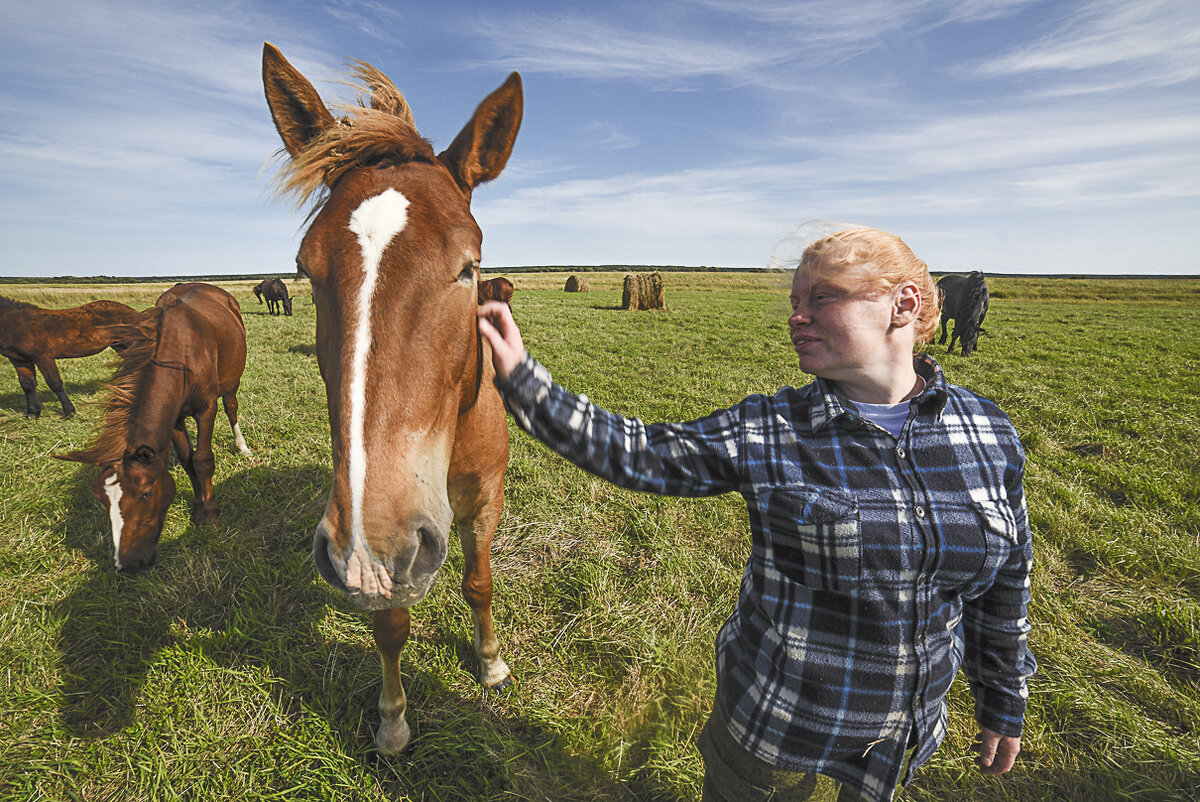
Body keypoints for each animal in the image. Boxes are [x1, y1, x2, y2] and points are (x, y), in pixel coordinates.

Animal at [0, 296, 137, 420]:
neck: (18, 324)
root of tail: (133, 311)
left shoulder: (43, 357)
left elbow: (55, 384)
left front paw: (69, 412)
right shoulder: (20, 360)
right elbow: (27, 385)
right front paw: (32, 413)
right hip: (120, 345)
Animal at [58, 284, 253, 573]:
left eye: (145, 494)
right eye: (102, 499)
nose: (128, 563)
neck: (180, 354)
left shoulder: (206, 408)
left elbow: (203, 460)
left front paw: (209, 514)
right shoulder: (175, 419)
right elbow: (187, 460)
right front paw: (198, 505)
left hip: (231, 381)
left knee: (231, 407)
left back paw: (243, 447)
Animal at [265, 40, 518, 753]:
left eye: (468, 267)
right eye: (305, 268)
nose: (370, 548)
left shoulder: (485, 499)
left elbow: (479, 582)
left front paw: (491, 663)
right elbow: (389, 625)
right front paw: (393, 718)